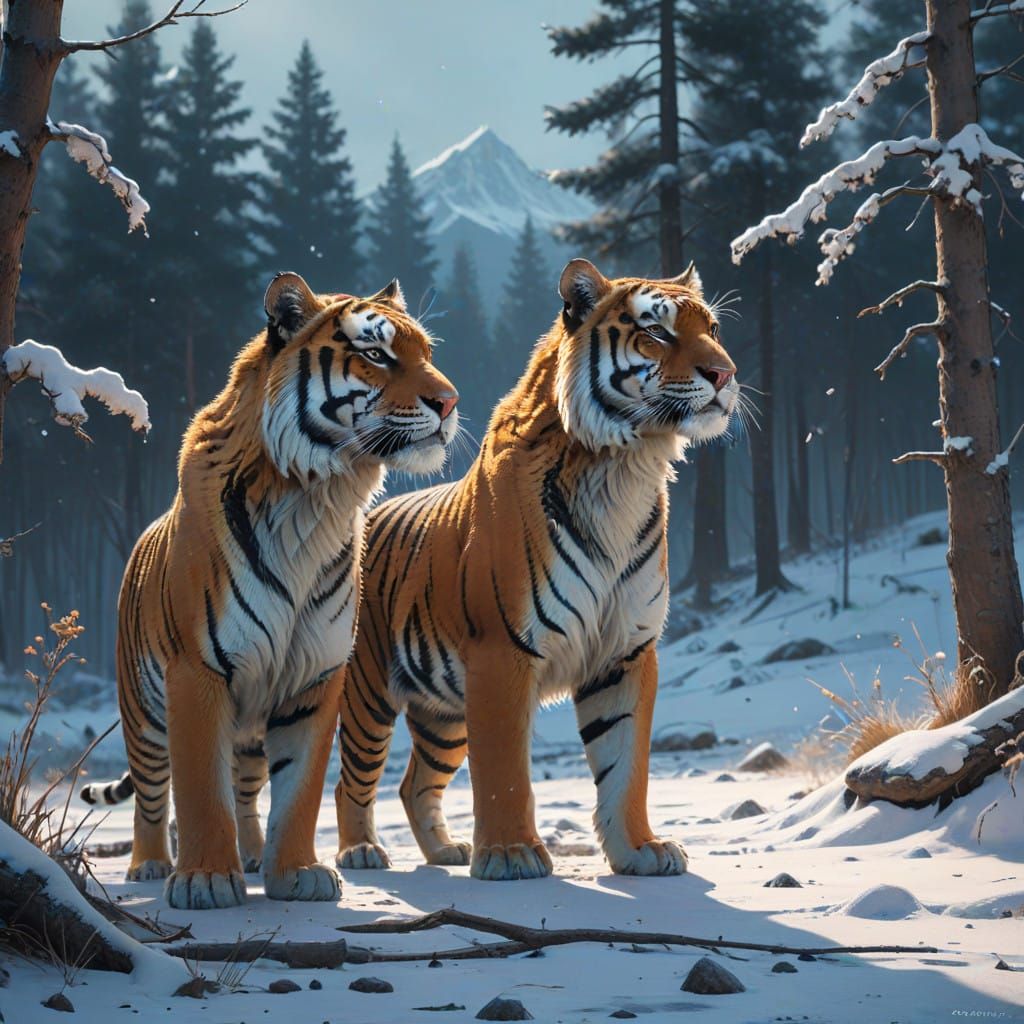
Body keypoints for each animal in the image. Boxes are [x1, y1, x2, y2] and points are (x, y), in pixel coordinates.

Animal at [80, 271, 460, 909]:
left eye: (428, 353)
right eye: (376, 354)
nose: (449, 402)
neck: (317, 496)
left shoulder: (314, 675)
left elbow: (298, 790)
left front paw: (296, 874)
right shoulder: (197, 672)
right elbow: (200, 790)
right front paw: (206, 881)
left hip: (250, 728)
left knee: (246, 786)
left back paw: (254, 855)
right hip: (142, 710)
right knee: (154, 794)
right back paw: (151, 866)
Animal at [332, 258, 739, 881]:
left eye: (712, 329)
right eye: (658, 331)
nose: (725, 373)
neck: (623, 465)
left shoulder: (624, 651)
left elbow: (626, 767)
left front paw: (641, 850)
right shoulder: (502, 652)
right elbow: (505, 772)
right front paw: (511, 855)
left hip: (443, 711)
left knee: (414, 783)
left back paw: (444, 852)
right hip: (368, 690)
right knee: (352, 780)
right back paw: (361, 852)